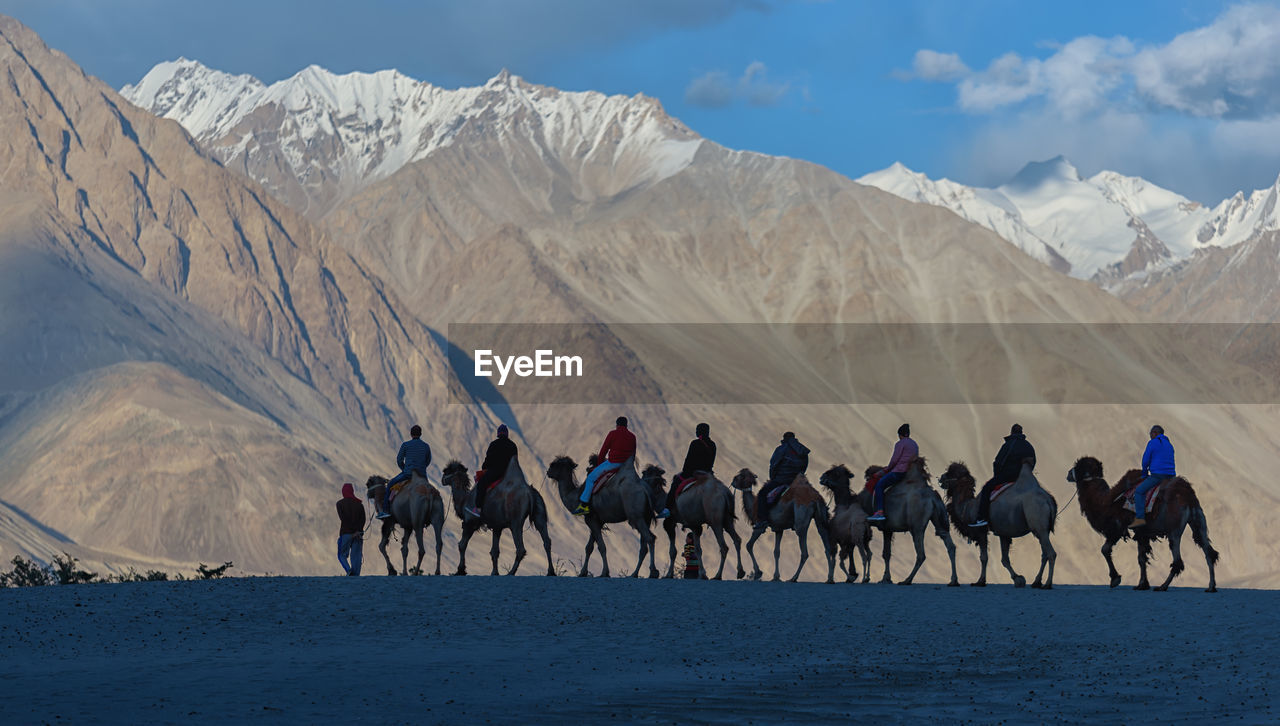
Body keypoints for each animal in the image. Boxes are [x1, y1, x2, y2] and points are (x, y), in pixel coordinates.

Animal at [1064, 458, 1213, 594]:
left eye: (1078, 467)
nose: (1068, 474)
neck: (1106, 501)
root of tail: (1188, 496)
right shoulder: (1141, 532)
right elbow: (1141, 559)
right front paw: (1142, 585)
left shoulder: (1118, 527)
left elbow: (1105, 549)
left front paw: (1115, 579)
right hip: (1198, 521)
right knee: (1208, 551)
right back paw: (1211, 587)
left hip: (1174, 530)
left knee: (1177, 561)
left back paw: (1162, 586)